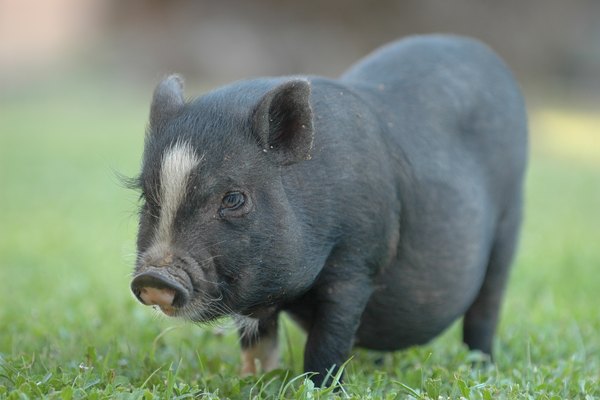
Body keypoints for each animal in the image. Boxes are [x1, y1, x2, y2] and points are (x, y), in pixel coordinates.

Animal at [130, 36, 524, 386]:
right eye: (147, 199)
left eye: (234, 199)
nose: (154, 277)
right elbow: (257, 344)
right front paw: (255, 382)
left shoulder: (356, 262)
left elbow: (327, 342)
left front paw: (324, 388)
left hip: (509, 223)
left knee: (486, 309)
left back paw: (482, 368)